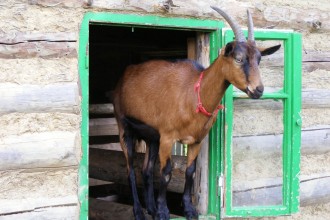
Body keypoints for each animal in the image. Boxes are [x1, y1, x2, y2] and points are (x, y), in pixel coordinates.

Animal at [113, 6, 282, 220]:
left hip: (151, 137)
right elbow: (166, 172)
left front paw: (189, 209)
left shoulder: (196, 140)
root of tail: (124, 77)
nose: (258, 89)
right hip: (124, 127)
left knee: (146, 171)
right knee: (131, 171)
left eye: (259, 60)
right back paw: (139, 211)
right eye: (238, 58)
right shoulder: (167, 136)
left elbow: (190, 171)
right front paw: (163, 211)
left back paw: (150, 208)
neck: (194, 93)